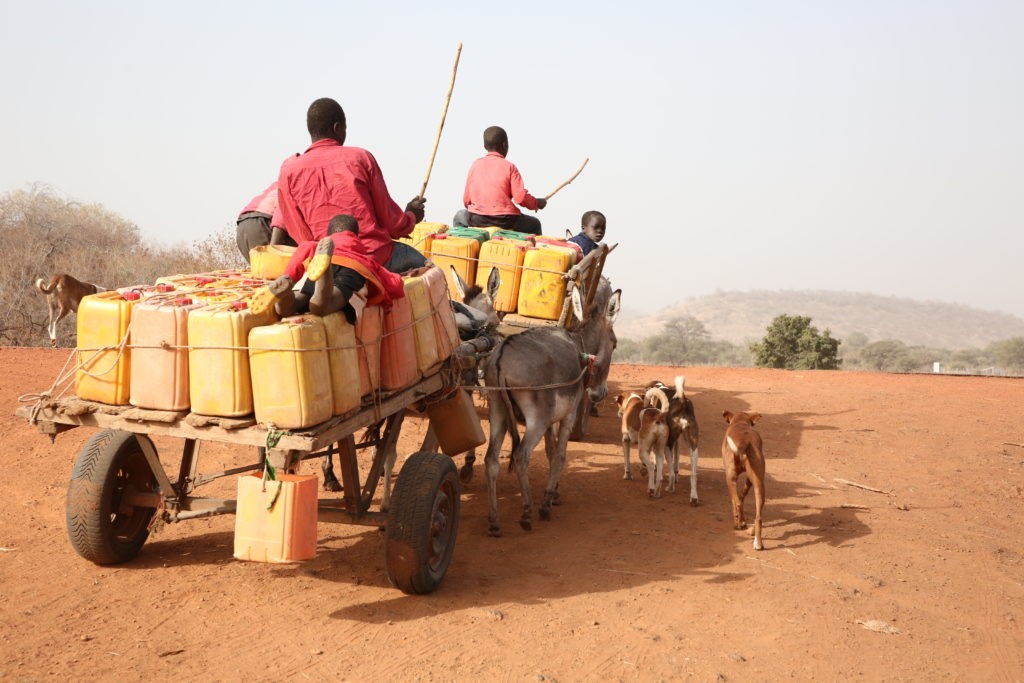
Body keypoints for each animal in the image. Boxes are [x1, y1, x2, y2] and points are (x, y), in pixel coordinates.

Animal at [724, 411, 765, 548]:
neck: (740, 422)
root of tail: (744, 441)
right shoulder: (750, 479)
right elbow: (743, 494)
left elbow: (735, 501)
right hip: (759, 484)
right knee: (758, 518)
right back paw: (758, 544)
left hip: (730, 479)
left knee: (737, 503)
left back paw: (739, 523)